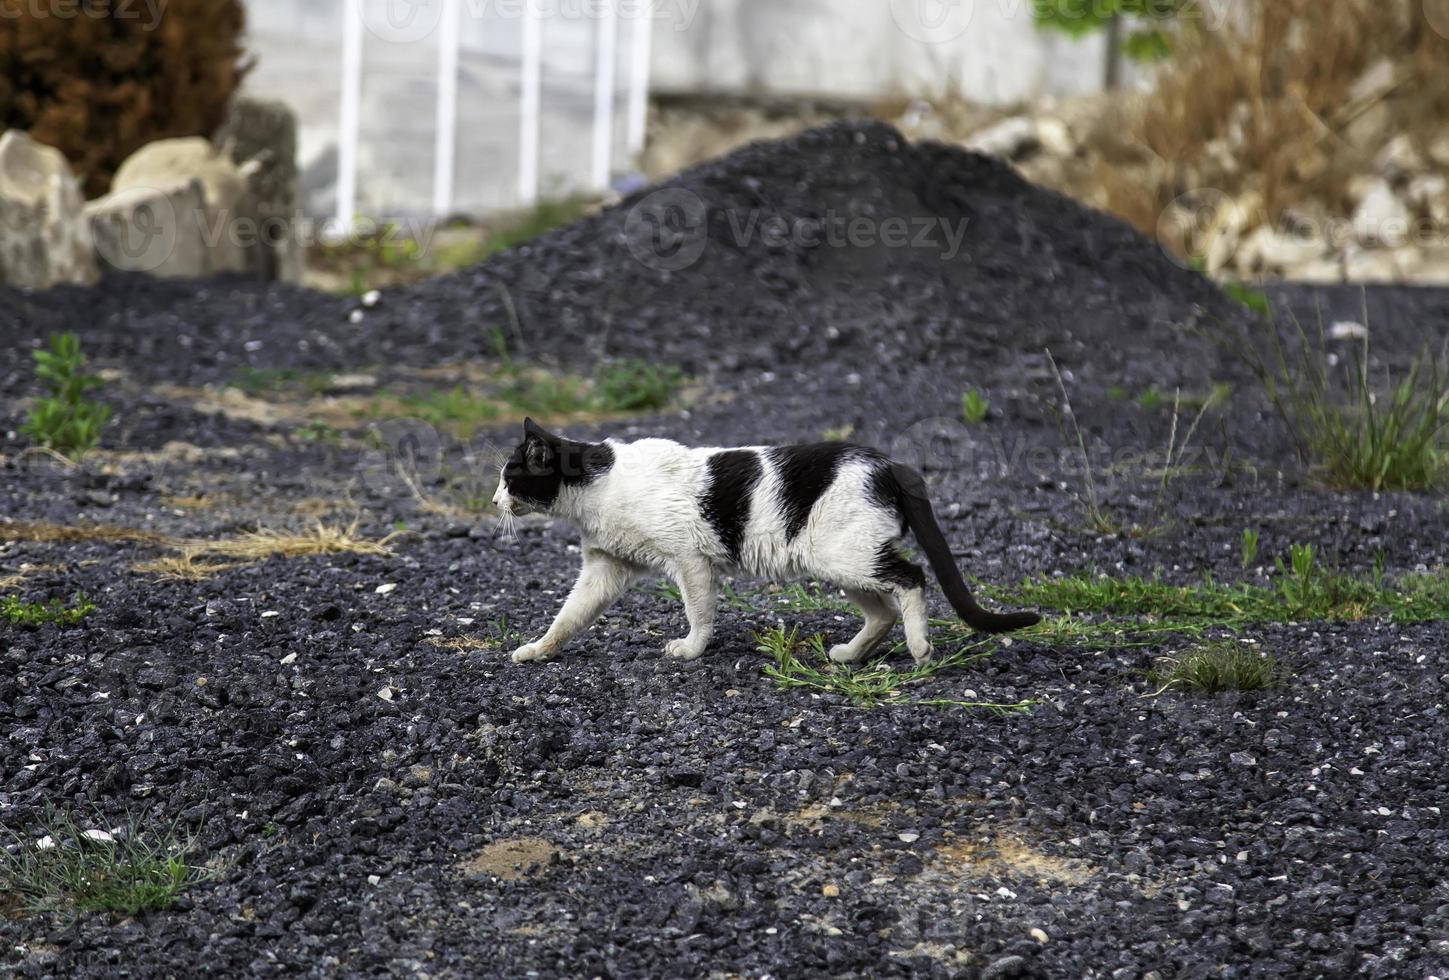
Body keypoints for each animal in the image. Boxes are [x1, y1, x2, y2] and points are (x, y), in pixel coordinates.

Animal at [492, 420, 1037, 666]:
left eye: (510, 477)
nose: (495, 499)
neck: (598, 487)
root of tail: (891, 464)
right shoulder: (605, 568)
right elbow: (568, 617)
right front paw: (539, 650)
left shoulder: (689, 560)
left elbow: (699, 612)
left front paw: (691, 649)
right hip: (839, 561)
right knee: (882, 610)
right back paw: (850, 654)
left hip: (848, 556)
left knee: (912, 579)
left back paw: (920, 645)